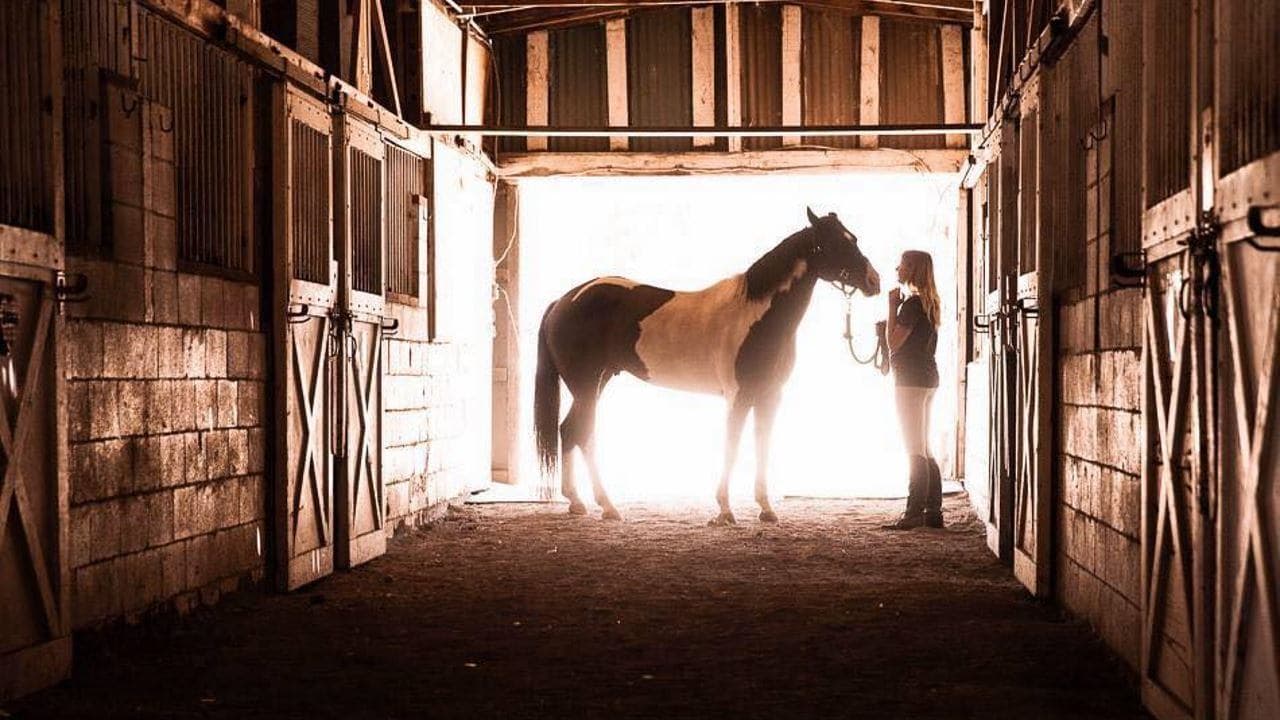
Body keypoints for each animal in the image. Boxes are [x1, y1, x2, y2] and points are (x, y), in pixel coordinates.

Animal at [534, 208, 882, 524]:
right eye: (836, 242)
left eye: (852, 238)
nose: (874, 281)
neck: (755, 315)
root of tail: (563, 301)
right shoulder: (738, 396)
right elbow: (732, 445)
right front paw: (725, 510)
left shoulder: (770, 396)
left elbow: (762, 445)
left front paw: (766, 509)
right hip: (586, 385)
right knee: (580, 432)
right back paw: (603, 505)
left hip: (597, 382)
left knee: (573, 431)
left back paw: (582, 503)